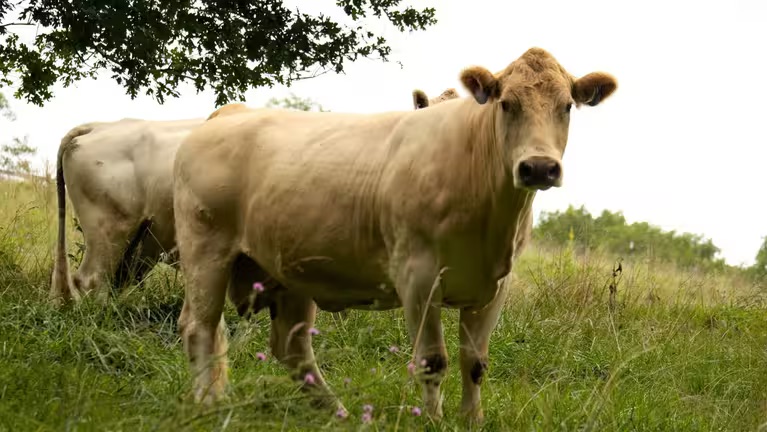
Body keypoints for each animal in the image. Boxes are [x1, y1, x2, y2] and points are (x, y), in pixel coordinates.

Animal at [170, 46, 616, 422]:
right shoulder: (417, 276)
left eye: (566, 107)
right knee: (200, 327)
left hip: (287, 271)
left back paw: (337, 412)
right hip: (205, 248)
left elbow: (475, 363)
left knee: (291, 347)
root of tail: (230, 112)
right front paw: (433, 421)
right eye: (507, 103)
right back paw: (206, 403)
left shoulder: (495, 286)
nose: (539, 167)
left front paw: (472, 420)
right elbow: (432, 360)